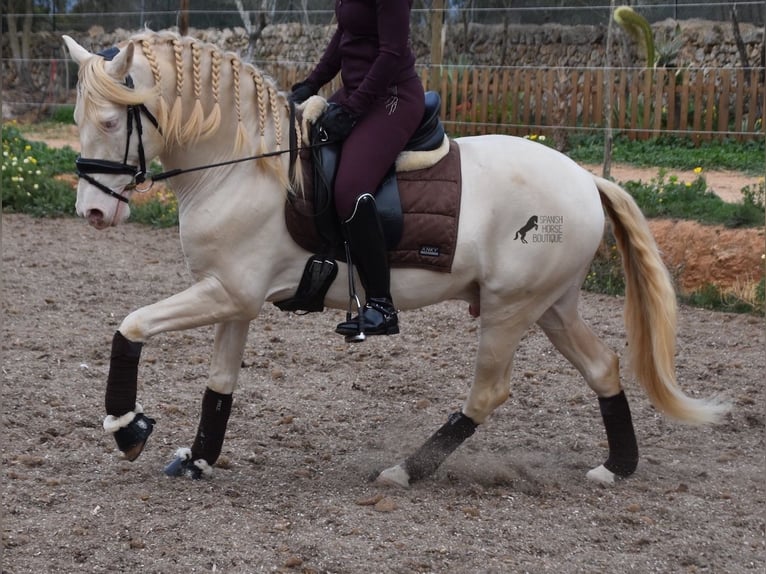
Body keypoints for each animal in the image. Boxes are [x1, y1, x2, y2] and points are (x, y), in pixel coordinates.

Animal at [63, 31, 728, 488]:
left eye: (109, 121)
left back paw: (406, 470)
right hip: (550, 305)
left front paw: (128, 428)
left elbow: (131, 326)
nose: (91, 213)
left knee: (488, 393)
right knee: (603, 366)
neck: (240, 165)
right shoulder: (234, 298)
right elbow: (219, 384)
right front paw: (197, 458)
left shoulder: (228, 292)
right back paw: (617, 467)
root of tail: (586, 178)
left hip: (511, 309)